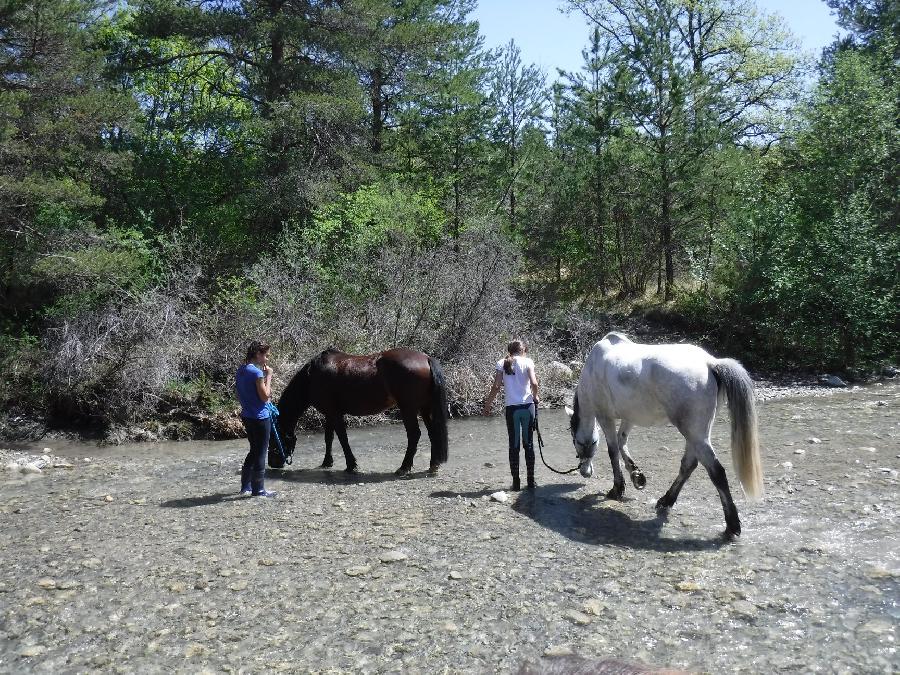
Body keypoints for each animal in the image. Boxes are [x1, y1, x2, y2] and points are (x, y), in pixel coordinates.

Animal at [268, 348, 448, 476]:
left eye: (273, 437)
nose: (272, 463)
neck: (312, 378)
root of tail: (425, 358)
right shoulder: (330, 413)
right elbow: (329, 438)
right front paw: (327, 462)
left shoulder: (334, 414)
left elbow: (342, 438)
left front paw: (351, 465)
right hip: (424, 408)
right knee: (432, 433)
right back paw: (433, 465)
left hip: (408, 409)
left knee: (414, 435)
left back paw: (404, 468)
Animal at [568, 332, 764, 540]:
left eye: (577, 441)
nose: (585, 472)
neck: (593, 366)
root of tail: (710, 363)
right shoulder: (629, 418)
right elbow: (622, 442)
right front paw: (637, 476)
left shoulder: (605, 417)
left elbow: (613, 451)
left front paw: (617, 489)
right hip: (697, 434)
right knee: (688, 465)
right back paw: (666, 500)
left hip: (694, 434)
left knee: (716, 472)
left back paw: (732, 525)